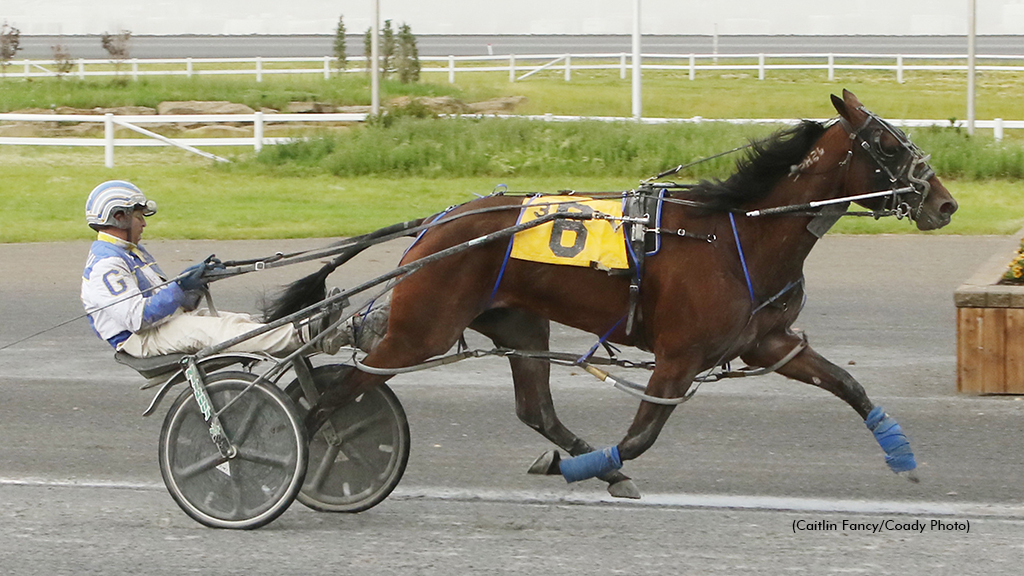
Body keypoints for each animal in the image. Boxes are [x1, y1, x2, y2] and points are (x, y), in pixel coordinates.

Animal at [268, 90, 954, 498]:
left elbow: (848, 383)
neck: (740, 234)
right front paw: (577, 467)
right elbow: (643, 434)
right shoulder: (679, 356)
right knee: (342, 390)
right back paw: (298, 446)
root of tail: (437, 223)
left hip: (518, 324)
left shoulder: (767, 340)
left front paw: (901, 452)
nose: (944, 203)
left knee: (534, 408)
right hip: (423, 329)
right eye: (888, 145)